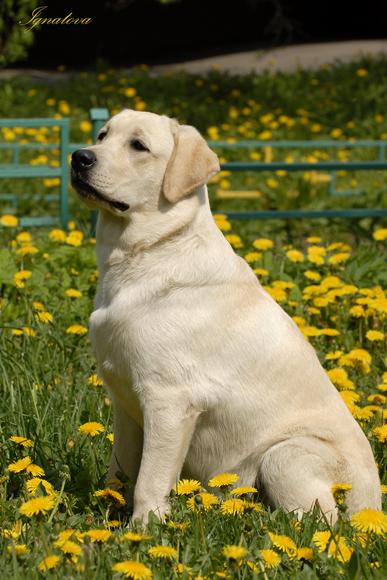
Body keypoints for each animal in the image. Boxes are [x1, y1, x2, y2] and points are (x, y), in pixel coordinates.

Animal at [70, 110, 382, 524]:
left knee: (322, 523)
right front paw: (107, 515)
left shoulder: (168, 401)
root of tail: (374, 508)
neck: (153, 249)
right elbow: (119, 470)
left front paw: (143, 528)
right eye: (103, 135)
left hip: (284, 455)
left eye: (138, 146)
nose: (79, 157)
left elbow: (148, 480)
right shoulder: (124, 400)